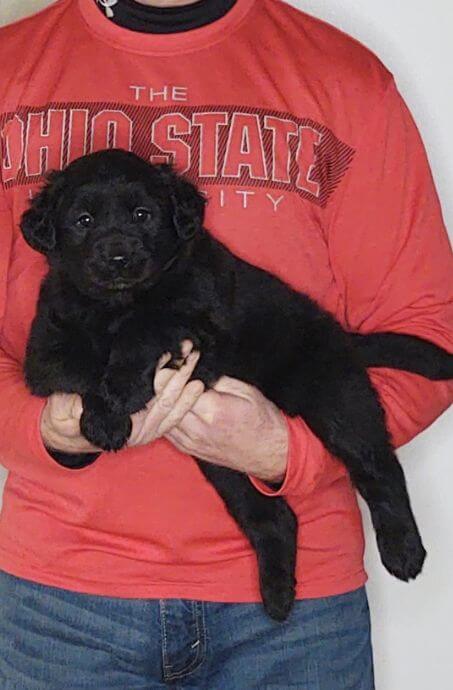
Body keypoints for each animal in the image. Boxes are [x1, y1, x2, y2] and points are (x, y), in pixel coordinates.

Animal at [22, 149, 452, 620]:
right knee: (272, 516)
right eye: (83, 220)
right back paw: (279, 596)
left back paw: (403, 550)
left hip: (334, 396)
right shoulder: (45, 348)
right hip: (218, 458)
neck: (114, 304)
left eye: (142, 215)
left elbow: (145, 324)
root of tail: (342, 334)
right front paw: (101, 422)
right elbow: (81, 364)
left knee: (378, 465)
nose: (118, 259)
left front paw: (118, 393)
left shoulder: (199, 321)